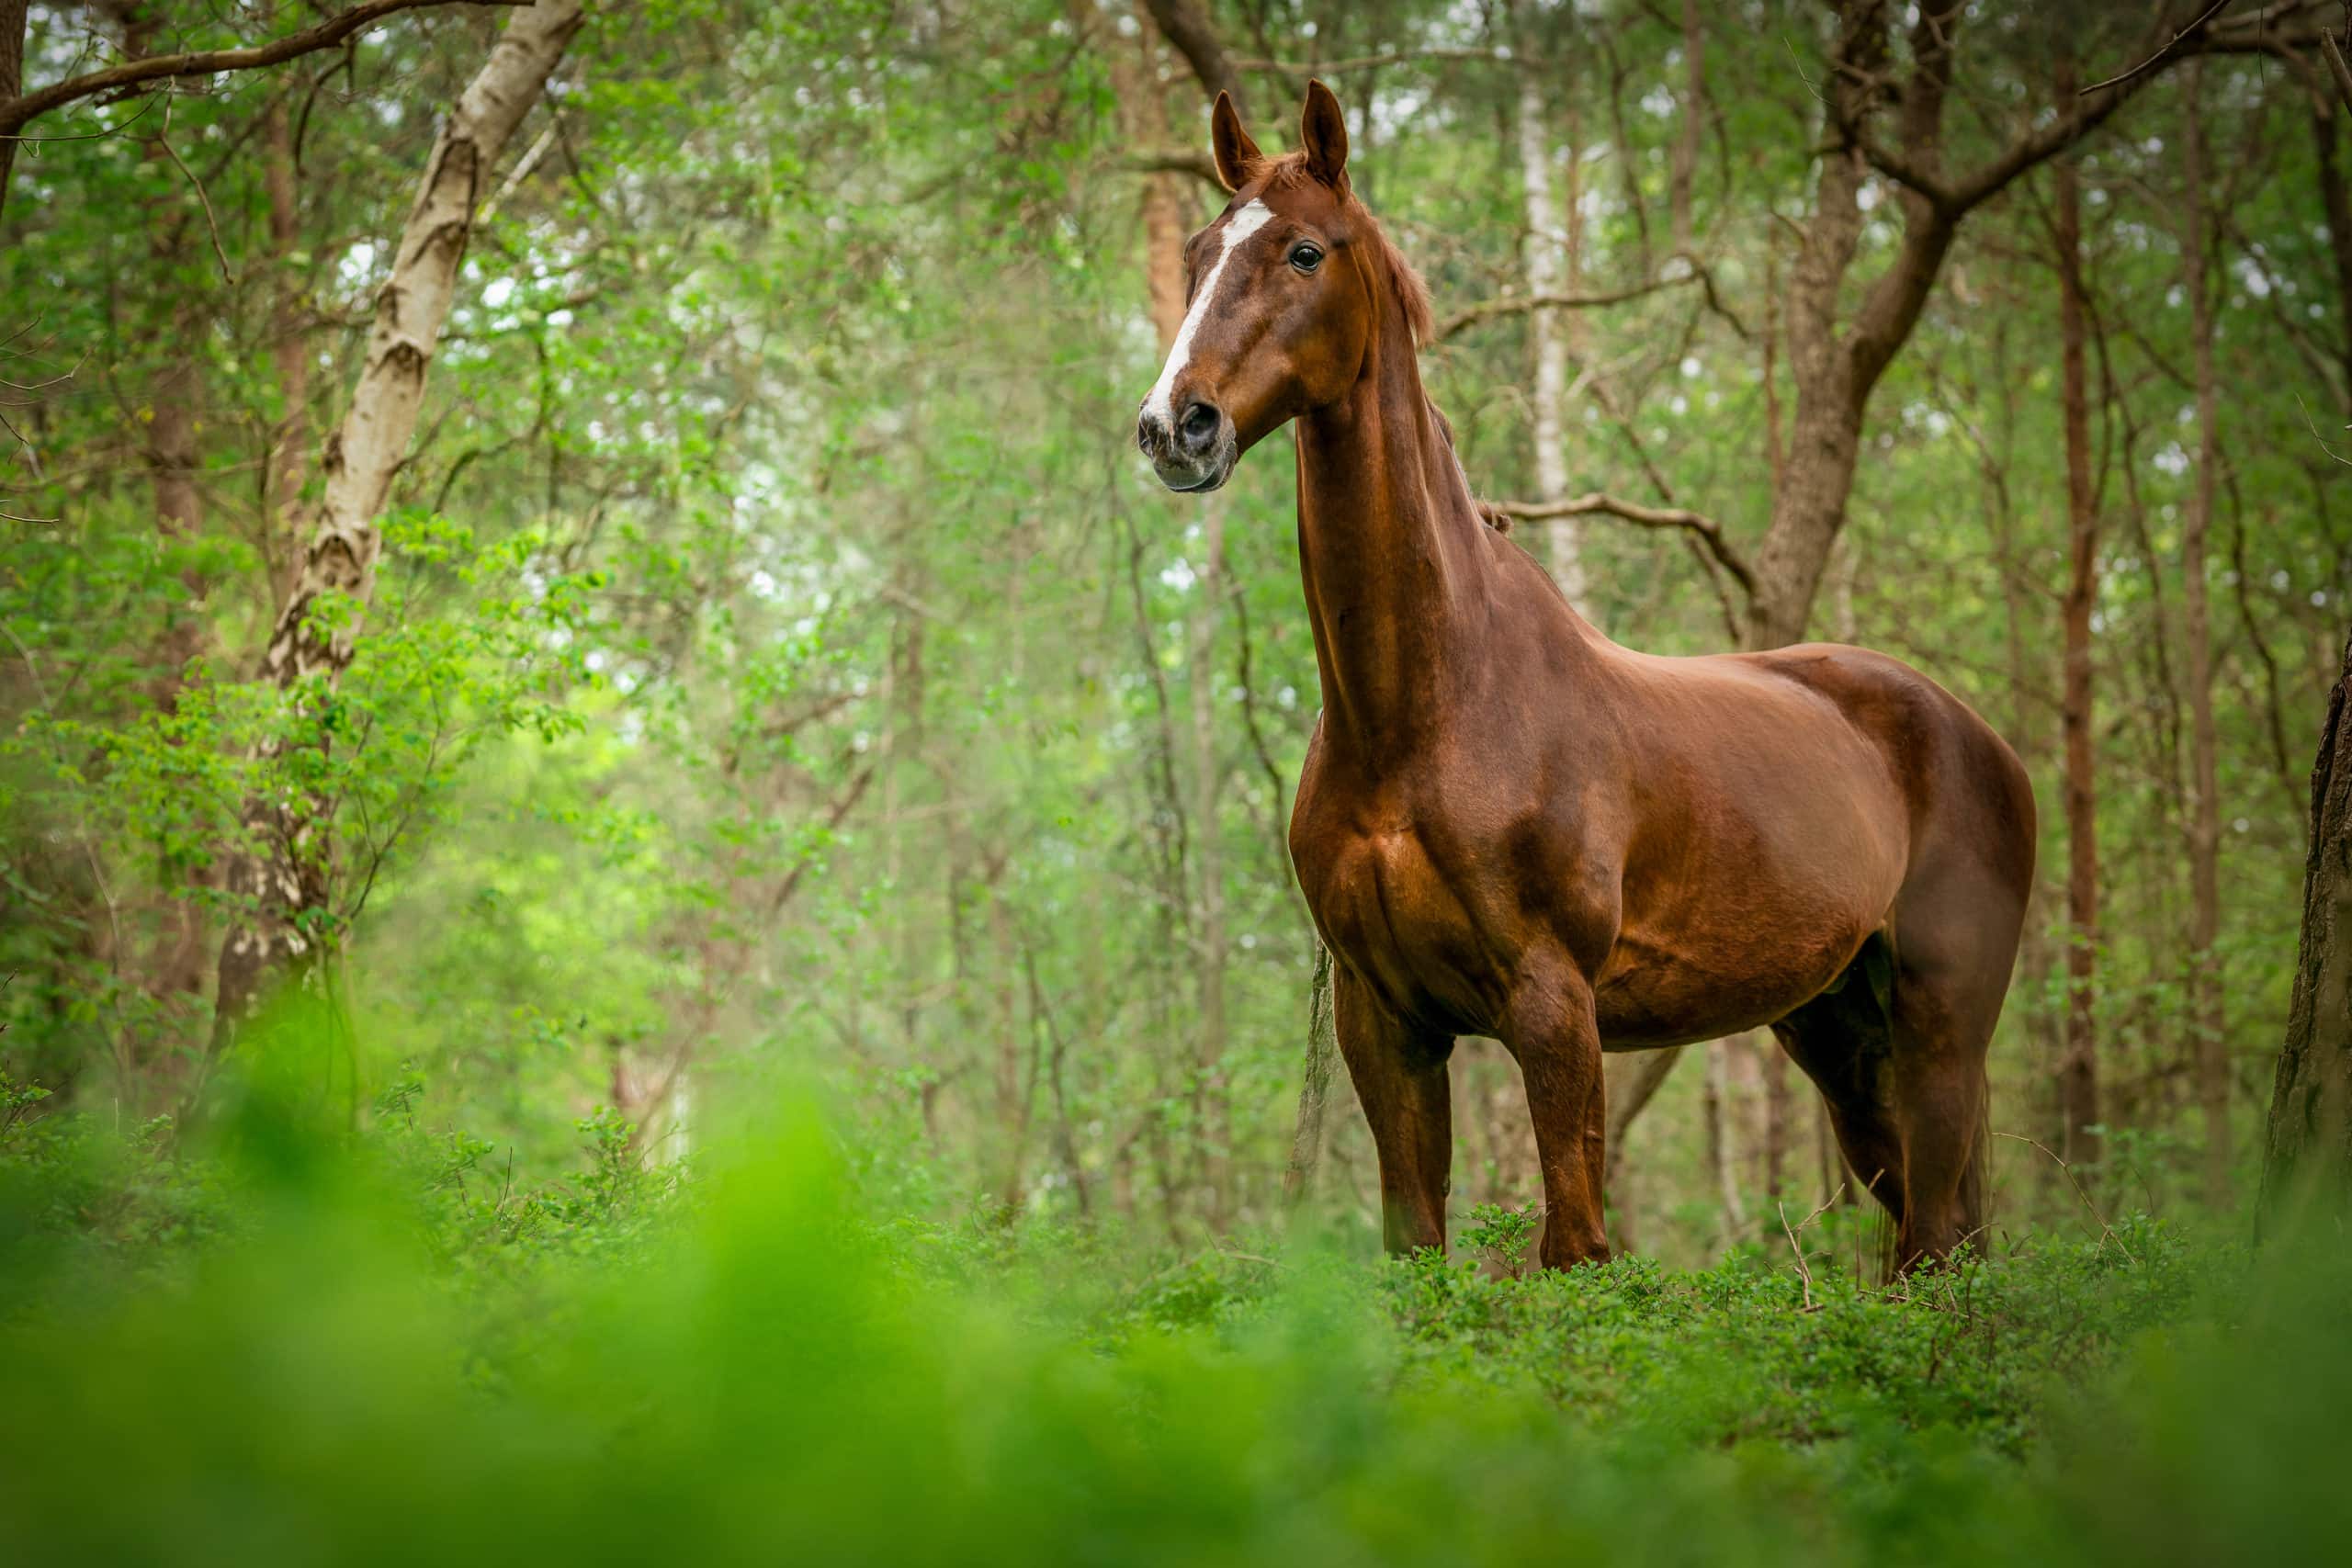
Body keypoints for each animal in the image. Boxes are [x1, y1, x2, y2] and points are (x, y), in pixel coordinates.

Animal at [1128, 80, 2031, 1269]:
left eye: (1305, 252)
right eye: (1197, 254)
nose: (1173, 427)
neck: (1428, 707)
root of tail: (1978, 739)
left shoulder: (1553, 1006)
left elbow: (1574, 1249)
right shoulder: (1386, 1020)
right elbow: (1414, 1246)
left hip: (1941, 1025)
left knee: (1936, 1239)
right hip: (1838, 1028)